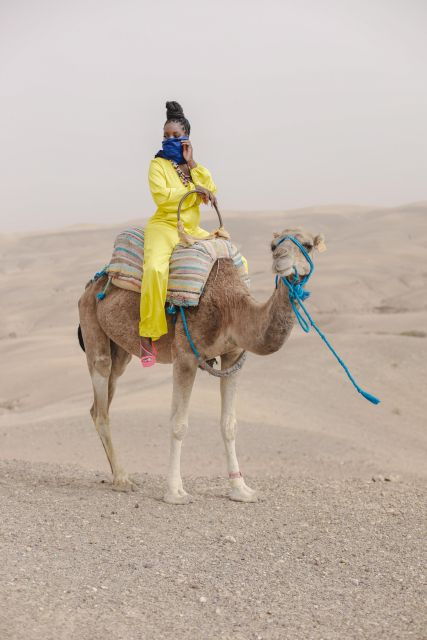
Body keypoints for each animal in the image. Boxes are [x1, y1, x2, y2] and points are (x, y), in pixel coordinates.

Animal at [77, 227, 326, 504]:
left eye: (307, 245)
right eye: (273, 246)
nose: (281, 259)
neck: (232, 309)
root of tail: (92, 284)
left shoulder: (233, 355)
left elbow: (229, 424)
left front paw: (241, 489)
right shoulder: (185, 356)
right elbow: (179, 424)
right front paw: (175, 492)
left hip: (120, 350)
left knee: (100, 402)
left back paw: (117, 476)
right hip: (91, 324)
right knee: (101, 400)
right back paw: (122, 479)